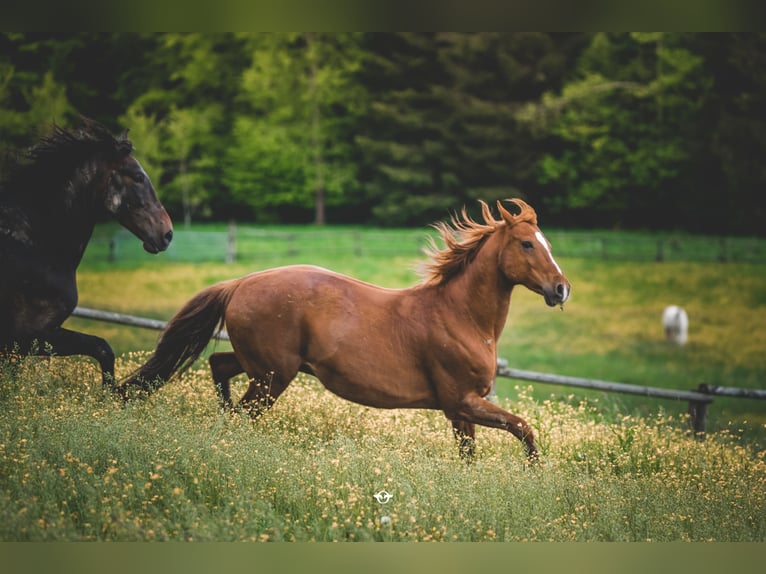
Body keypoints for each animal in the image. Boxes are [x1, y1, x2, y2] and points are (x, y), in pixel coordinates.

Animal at [0, 117, 173, 390]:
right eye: (137, 176)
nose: (167, 233)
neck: (35, 242)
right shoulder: (26, 336)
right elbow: (103, 348)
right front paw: (112, 396)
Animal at [121, 200, 568, 462]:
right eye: (527, 243)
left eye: (546, 242)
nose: (561, 289)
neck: (461, 316)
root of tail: (241, 283)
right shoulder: (462, 401)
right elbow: (525, 429)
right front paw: (535, 473)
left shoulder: (462, 410)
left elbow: (470, 454)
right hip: (272, 377)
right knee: (241, 408)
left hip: (260, 366)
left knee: (218, 364)